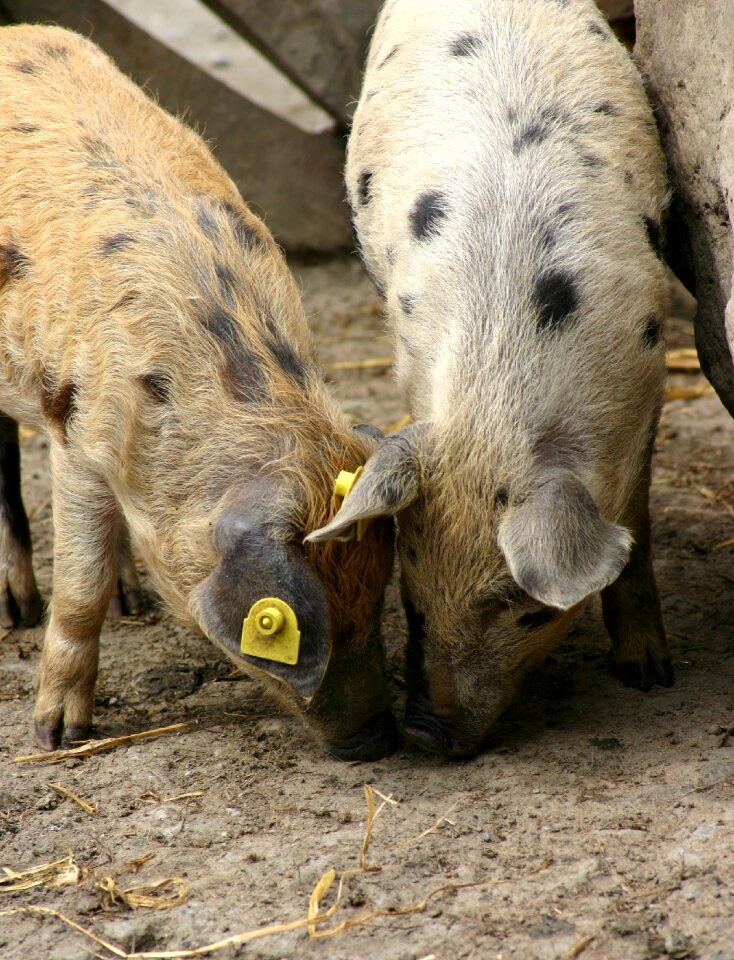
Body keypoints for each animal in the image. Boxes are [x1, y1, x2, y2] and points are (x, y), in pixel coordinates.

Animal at [0, 20, 400, 756]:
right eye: (289, 627)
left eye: (375, 591)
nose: (380, 740)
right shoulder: (75, 436)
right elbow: (79, 588)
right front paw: (55, 737)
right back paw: (18, 613)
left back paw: (131, 600)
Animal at [308, 0, 676, 756]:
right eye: (411, 589)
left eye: (522, 607)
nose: (424, 733)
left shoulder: (647, 385)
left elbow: (638, 523)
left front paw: (650, 676)